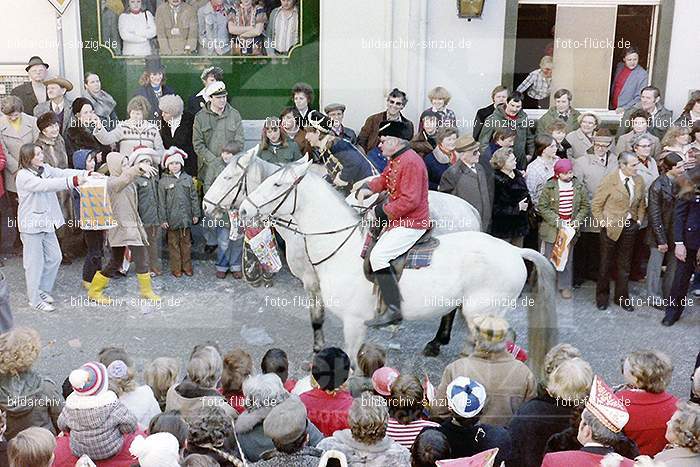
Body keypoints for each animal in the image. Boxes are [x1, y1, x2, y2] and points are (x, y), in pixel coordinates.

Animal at [204, 148, 482, 356]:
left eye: (228, 177)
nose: (206, 205)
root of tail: (469, 208)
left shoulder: (312, 280)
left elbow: (317, 316)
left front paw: (318, 350)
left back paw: (436, 342)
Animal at [239, 159, 556, 374]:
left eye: (277, 184)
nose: (243, 209)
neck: (340, 248)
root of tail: (514, 250)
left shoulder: (353, 322)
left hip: (484, 312)